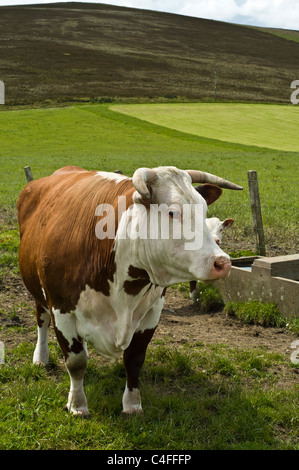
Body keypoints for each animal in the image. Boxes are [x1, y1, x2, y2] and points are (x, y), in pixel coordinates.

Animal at [17, 165, 244, 414]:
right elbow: (76, 362)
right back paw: (41, 356)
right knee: (41, 319)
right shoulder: (61, 308)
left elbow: (134, 359)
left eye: (204, 210)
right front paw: (78, 405)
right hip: (37, 289)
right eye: (172, 212)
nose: (222, 262)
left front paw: (133, 405)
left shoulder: (152, 311)